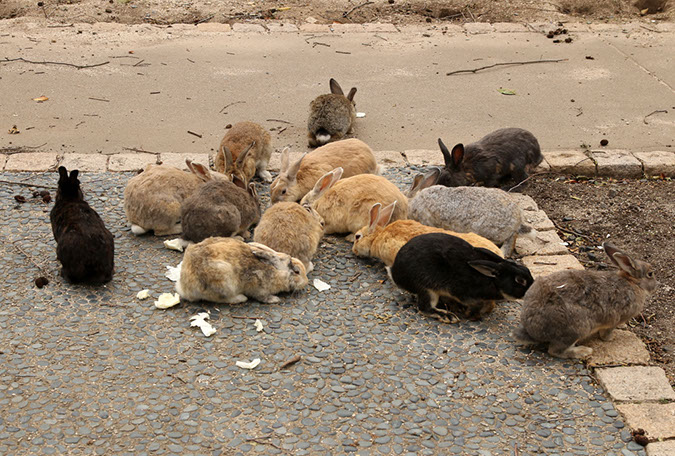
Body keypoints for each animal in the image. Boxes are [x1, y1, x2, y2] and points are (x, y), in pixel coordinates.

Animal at [176, 237, 309, 304]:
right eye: (297, 272)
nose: (306, 282)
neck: (276, 270)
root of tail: (184, 288)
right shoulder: (257, 286)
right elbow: (261, 296)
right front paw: (274, 299)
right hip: (222, 281)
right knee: (220, 298)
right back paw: (241, 298)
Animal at [388, 232, 534, 323]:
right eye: (520, 280)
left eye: (527, 270)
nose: (531, 289)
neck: (492, 280)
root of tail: (395, 273)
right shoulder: (461, 292)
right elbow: (476, 303)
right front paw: (471, 314)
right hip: (427, 288)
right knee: (425, 308)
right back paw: (447, 316)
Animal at [513, 242, 657, 359]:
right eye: (650, 274)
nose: (656, 285)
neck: (633, 283)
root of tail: (532, 330)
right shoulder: (615, 320)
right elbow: (607, 332)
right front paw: (611, 338)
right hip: (578, 329)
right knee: (555, 351)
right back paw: (584, 351)